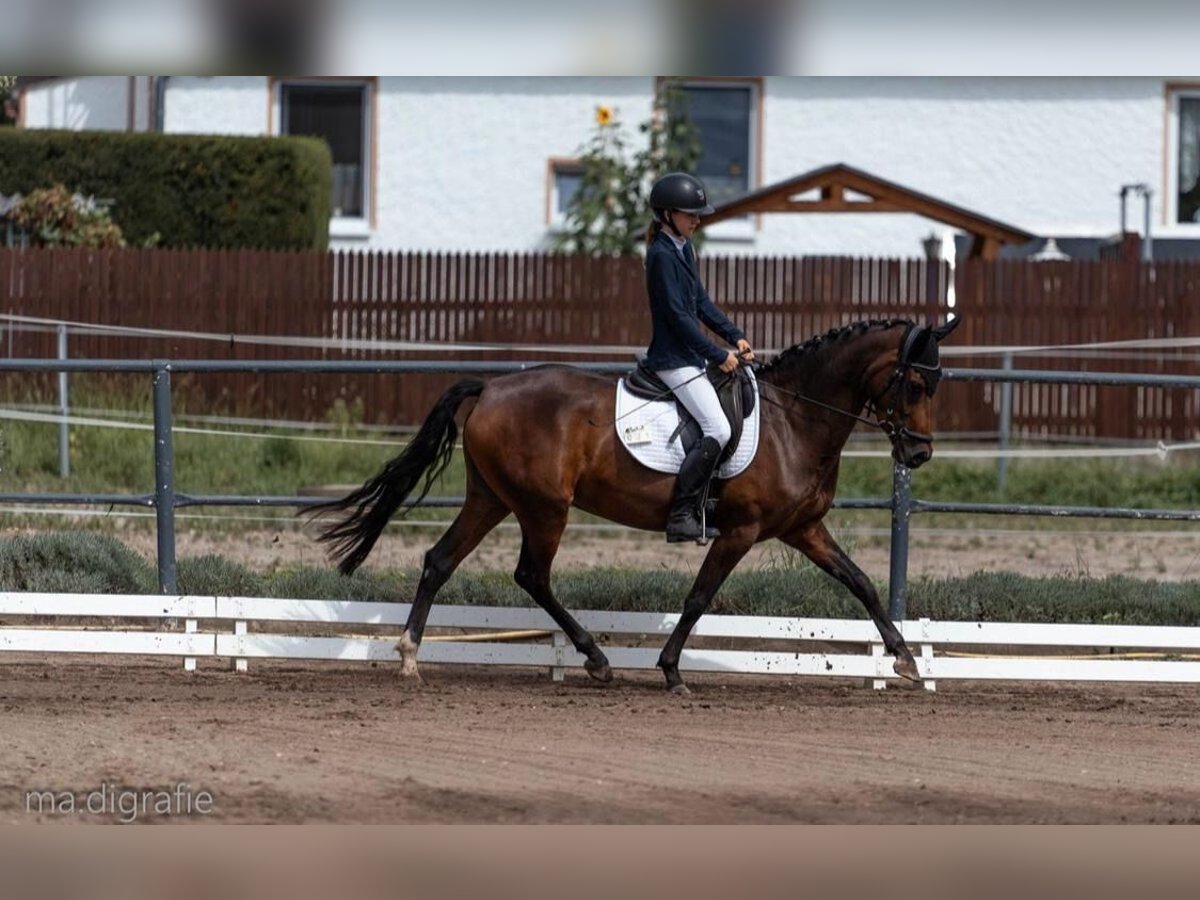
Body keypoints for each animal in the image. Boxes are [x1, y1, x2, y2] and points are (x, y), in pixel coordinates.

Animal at [304, 316, 960, 696]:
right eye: (915, 384)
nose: (921, 453)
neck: (794, 420)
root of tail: (490, 387)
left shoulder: (803, 528)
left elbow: (861, 582)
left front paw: (905, 661)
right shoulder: (740, 531)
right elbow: (699, 596)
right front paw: (670, 670)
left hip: (491, 498)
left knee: (440, 560)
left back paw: (411, 656)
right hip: (545, 507)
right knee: (531, 575)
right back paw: (595, 659)